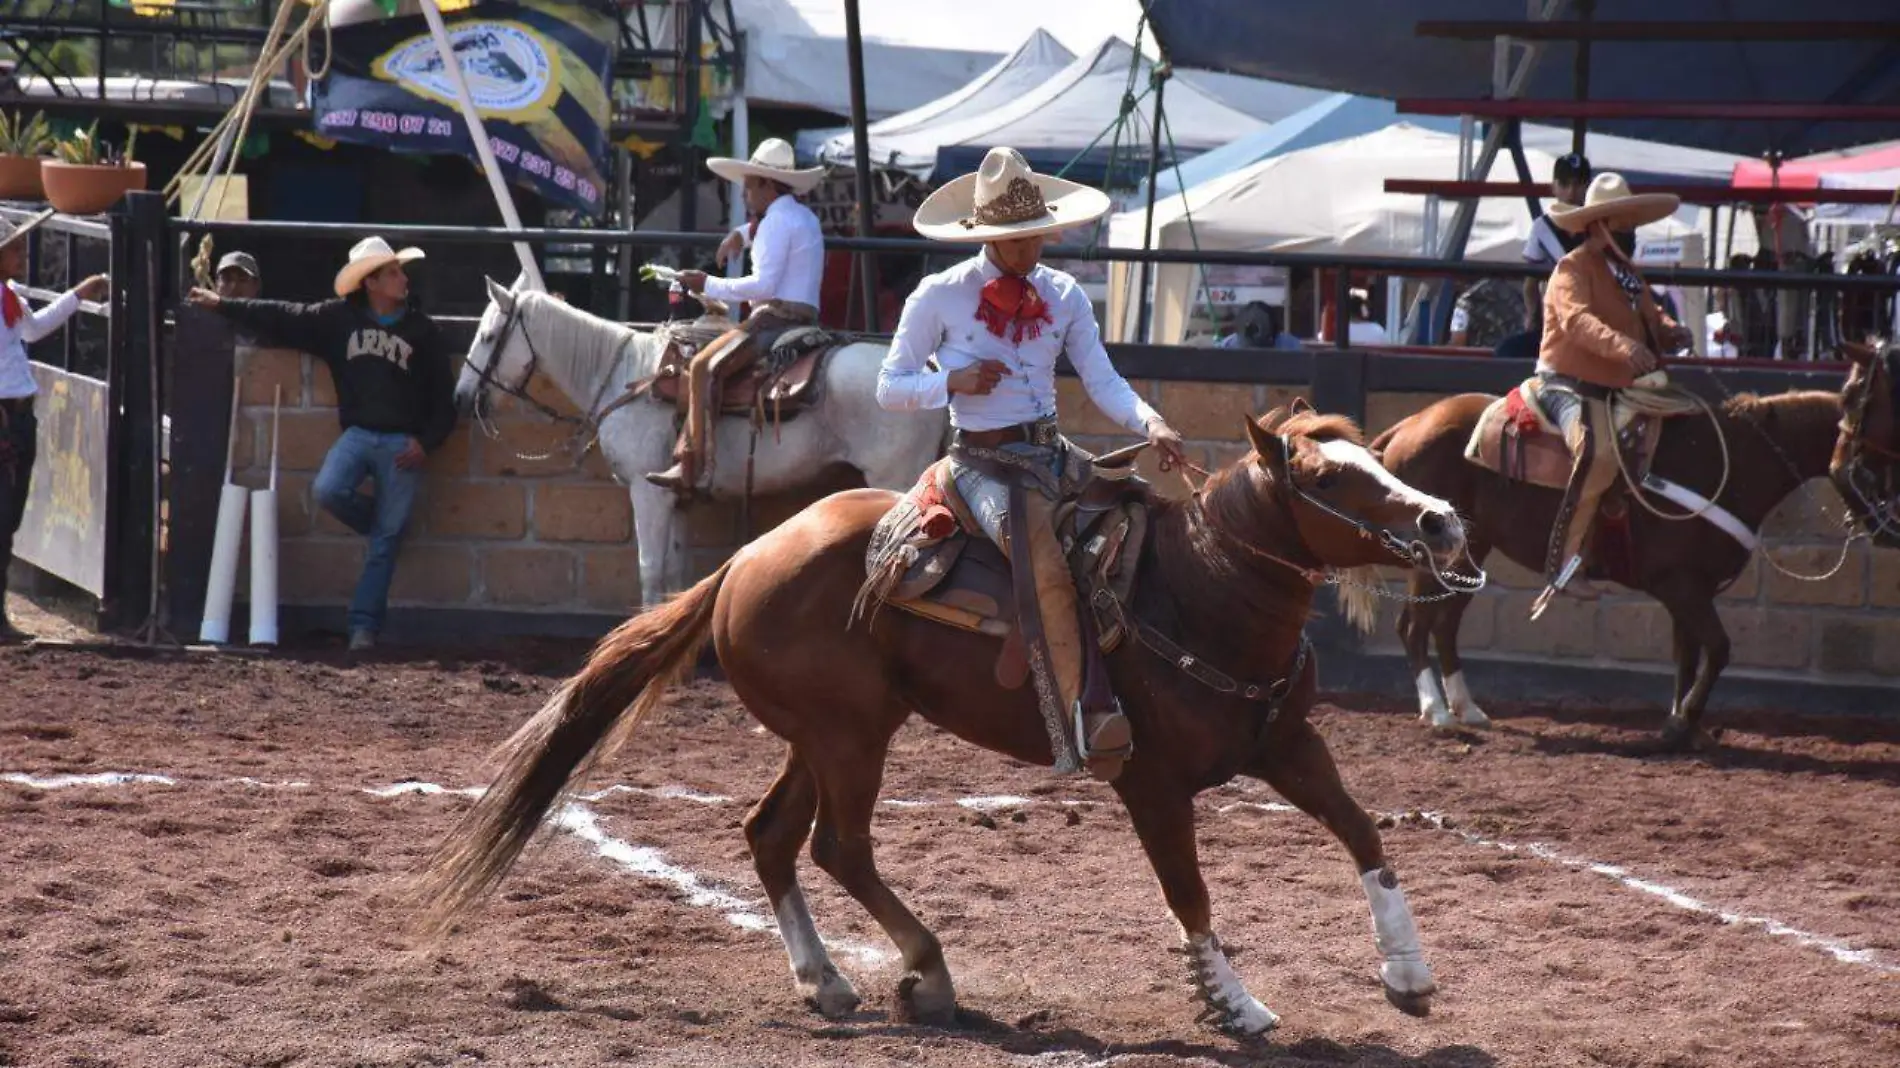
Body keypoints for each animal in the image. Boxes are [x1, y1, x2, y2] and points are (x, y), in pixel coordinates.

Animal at [412, 404, 1466, 1033]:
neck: (1200, 593)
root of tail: (747, 556)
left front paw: (1409, 973)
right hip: (850, 738)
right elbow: (1191, 895)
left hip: (827, 734)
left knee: (771, 835)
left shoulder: (1287, 743)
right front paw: (1236, 1006)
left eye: (1375, 456)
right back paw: (926, 970)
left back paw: (827, 980)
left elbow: (1365, 834)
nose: (1444, 522)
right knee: (838, 846)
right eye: (1326, 479)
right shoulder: (1152, 783)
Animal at [446, 273, 950, 604]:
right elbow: (673, 569)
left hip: (897, 477)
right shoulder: (677, 497)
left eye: (488, 335)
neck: (624, 376)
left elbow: (650, 570)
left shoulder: (647, 492)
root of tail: (929, 377)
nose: (461, 397)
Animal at [1368, 345, 1900, 752]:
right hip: (1432, 553)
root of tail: (1409, 424)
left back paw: (1468, 708)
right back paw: (1436, 711)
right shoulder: (1682, 587)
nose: (1889, 528)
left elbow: (1687, 654)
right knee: (1413, 625)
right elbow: (1718, 649)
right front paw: (1681, 724)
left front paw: (1684, 727)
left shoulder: (1689, 592)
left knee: (1445, 623)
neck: (1730, 461)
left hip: (1471, 550)